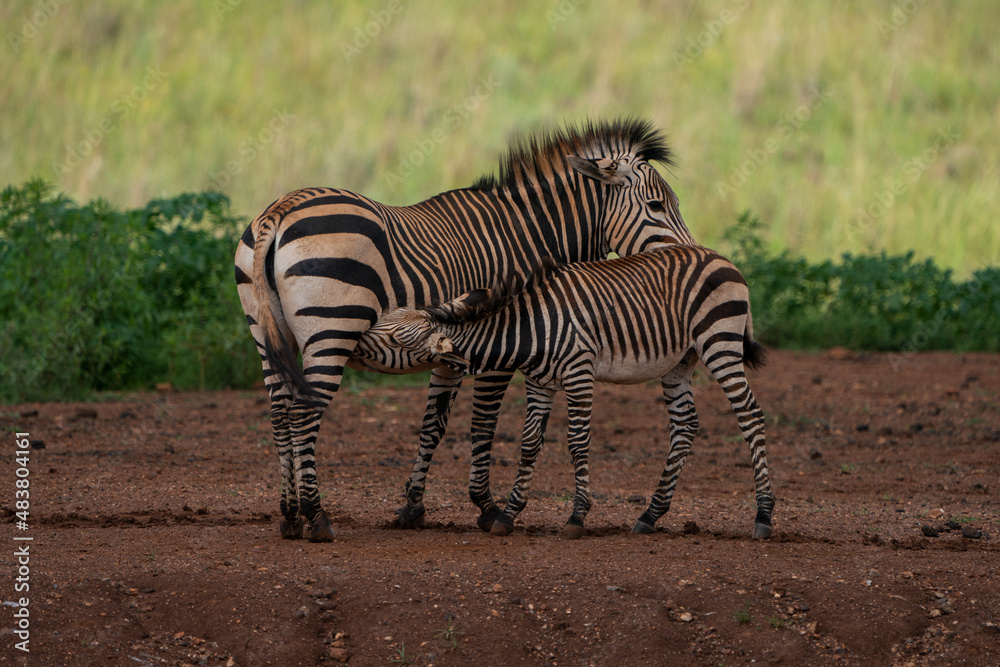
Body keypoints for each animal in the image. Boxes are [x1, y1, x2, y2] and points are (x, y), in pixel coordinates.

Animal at [234, 118, 696, 541]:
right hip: (331, 333)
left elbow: (433, 424)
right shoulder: (501, 341)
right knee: (304, 412)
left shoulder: (451, 349)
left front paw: (413, 507)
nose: (692, 256)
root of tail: (280, 210)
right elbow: (483, 424)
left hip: (268, 337)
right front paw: (488, 508)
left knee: (279, 411)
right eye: (657, 205)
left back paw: (290, 516)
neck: (528, 236)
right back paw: (316, 517)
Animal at [368, 245, 774, 540]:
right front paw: (509, 514)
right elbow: (530, 442)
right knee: (685, 425)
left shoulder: (580, 374)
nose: (356, 340)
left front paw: (577, 516)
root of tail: (721, 258)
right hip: (680, 360)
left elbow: (578, 442)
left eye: (395, 339)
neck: (530, 329)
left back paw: (764, 516)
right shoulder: (539, 382)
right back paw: (649, 515)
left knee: (750, 416)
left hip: (719, 343)